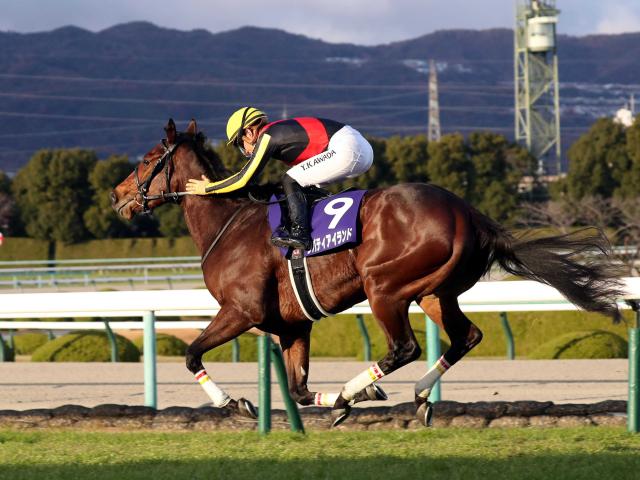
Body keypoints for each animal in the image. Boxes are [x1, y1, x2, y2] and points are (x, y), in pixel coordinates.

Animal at [111, 119, 624, 424]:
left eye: (146, 160)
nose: (117, 197)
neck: (228, 224)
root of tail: (470, 214)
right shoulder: (291, 325)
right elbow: (298, 390)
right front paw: (334, 405)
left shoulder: (242, 311)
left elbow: (191, 354)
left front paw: (235, 402)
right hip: (436, 292)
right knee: (466, 337)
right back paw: (412, 397)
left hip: (384, 288)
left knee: (405, 347)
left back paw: (353, 391)